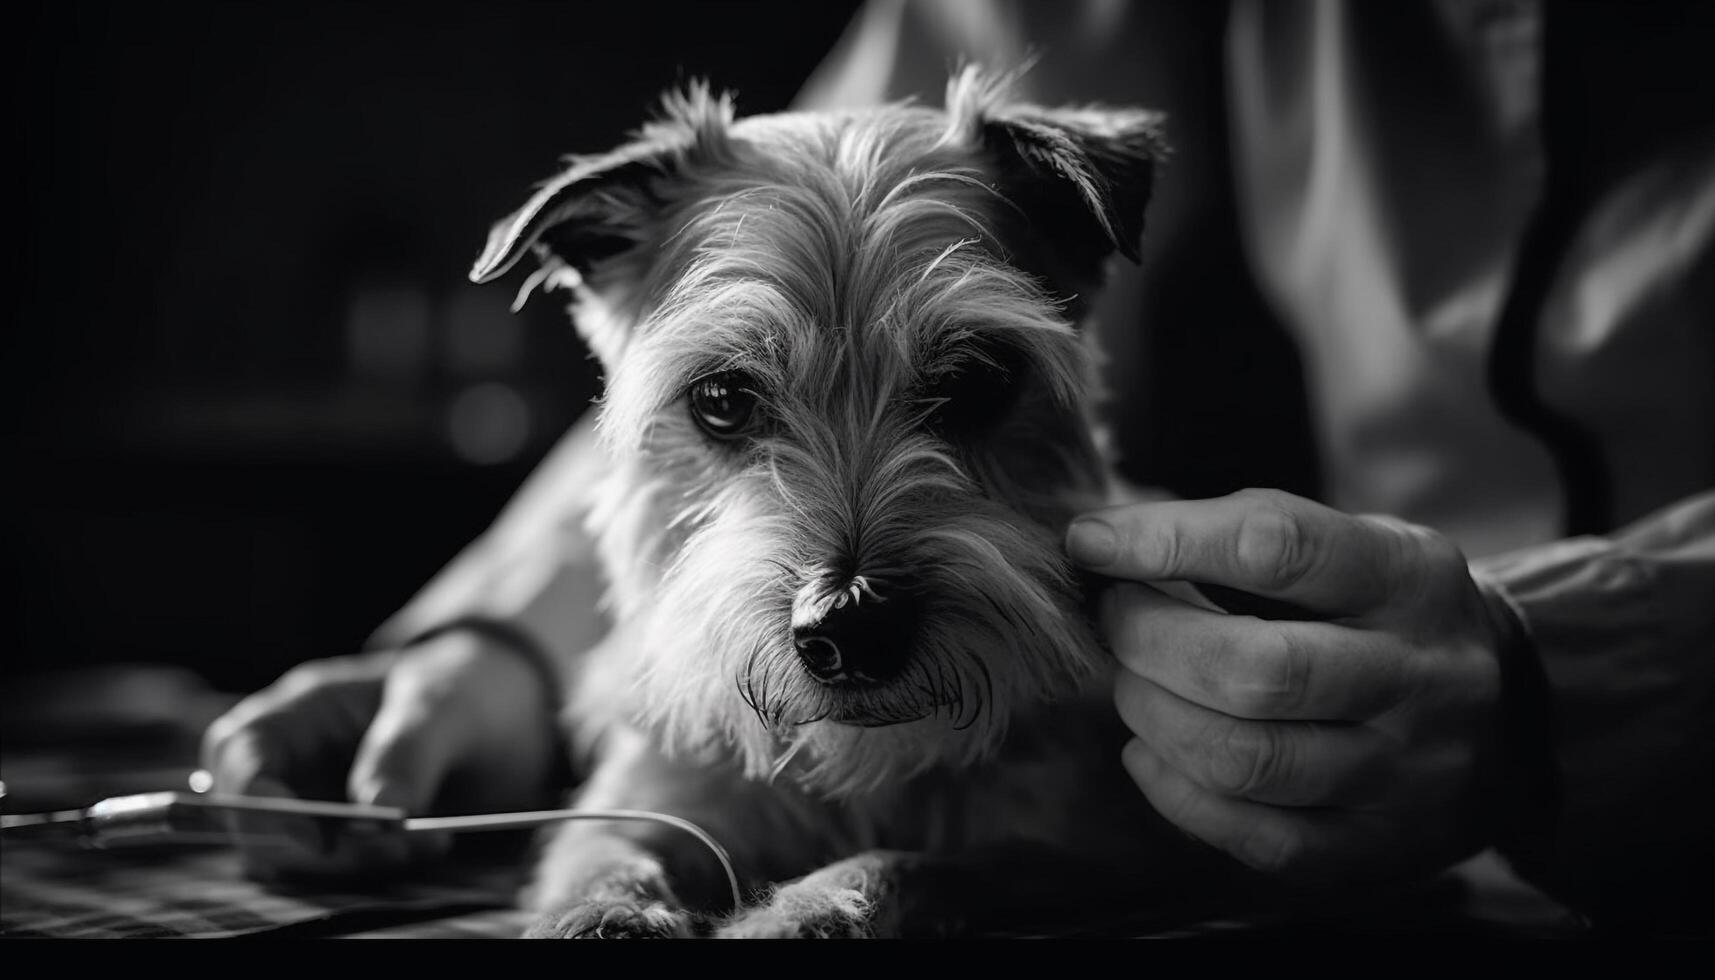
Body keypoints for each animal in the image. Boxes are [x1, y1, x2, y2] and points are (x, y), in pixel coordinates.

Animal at [469, 65, 1262, 940]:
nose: (851, 625)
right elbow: (600, 859)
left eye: (977, 380)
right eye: (720, 398)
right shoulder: (644, 796)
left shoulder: (1089, 854)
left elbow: (914, 866)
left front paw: (803, 911)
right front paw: (607, 914)